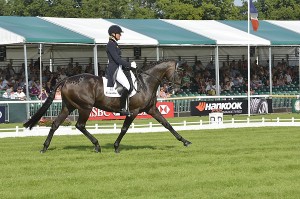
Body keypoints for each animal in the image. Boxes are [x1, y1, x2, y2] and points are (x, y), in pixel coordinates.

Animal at [23, 59, 192, 153]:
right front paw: (116, 146)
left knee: (55, 124)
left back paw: (44, 147)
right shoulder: (134, 111)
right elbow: (124, 129)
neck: (145, 82)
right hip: (85, 107)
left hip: (68, 107)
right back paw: (97, 145)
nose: (178, 88)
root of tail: (66, 79)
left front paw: (184, 141)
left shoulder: (151, 109)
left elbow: (167, 124)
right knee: (80, 125)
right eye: (180, 73)